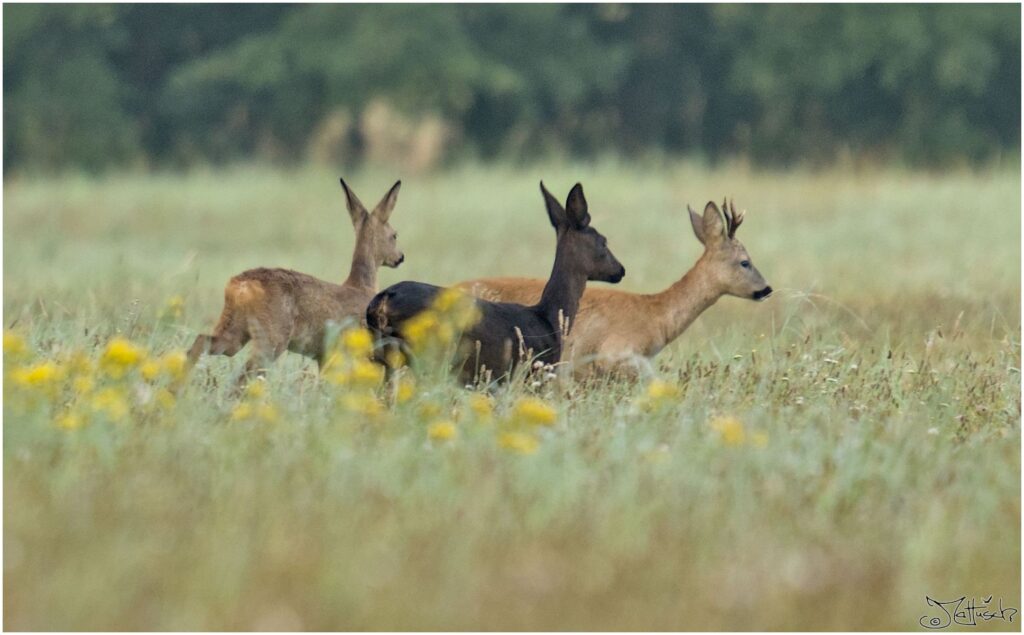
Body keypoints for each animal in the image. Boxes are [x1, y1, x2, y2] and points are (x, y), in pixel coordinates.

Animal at [368, 181, 622, 385]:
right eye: (603, 241)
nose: (620, 270)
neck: (549, 318)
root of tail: (383, 300)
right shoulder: (533, 371)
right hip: (427, 355)